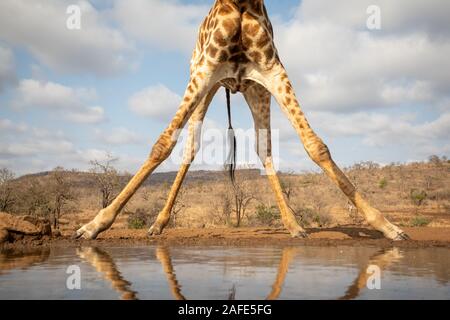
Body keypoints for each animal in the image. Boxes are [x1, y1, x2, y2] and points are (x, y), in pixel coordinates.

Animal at [74, 0, 408, 240]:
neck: (241, 2)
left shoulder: (273, 70)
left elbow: (315, 145)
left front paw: (386, 225)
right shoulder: (205, 70)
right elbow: (162, 144)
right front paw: (94, 225)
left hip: (256, 90)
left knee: (264, 148)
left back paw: (293, 225)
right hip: (203, 84)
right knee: (190, 148)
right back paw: (157, 224)